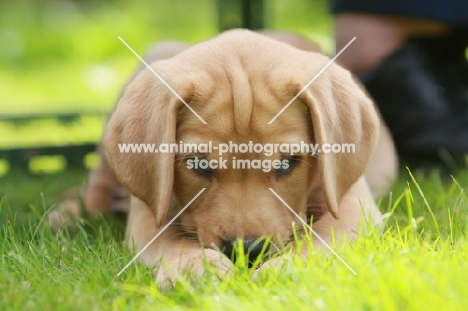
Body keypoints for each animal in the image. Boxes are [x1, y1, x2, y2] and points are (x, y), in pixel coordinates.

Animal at [48, 29, 398, 288]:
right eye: (199, 164)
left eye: (288, 163)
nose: (247, 251)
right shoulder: (148, 217)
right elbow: (170, 240)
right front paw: (194, 267)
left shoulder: (352, 204)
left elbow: (321, 238)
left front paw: (288, 268)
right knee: (98, 182)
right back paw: (70, 214)